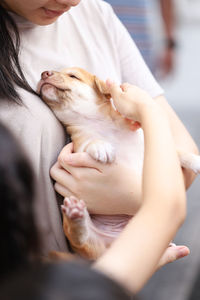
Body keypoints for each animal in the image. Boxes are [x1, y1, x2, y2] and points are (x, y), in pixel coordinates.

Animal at [37, 67, 200, 258]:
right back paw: (75, 215)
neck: (100, 123)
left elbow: (180, 153)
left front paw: (196, 161)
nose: (44, 73)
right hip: (87, 241)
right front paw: (101, 146)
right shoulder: (80, 147)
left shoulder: (151, 144)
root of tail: (112, 245)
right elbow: (91, 142)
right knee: (78, 237)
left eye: (72, 76)